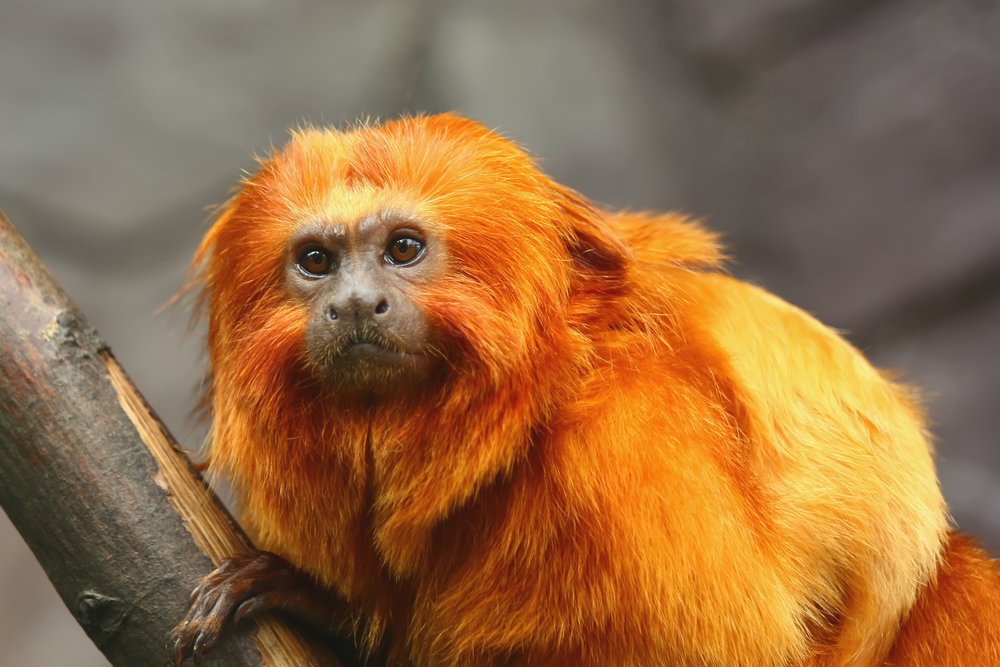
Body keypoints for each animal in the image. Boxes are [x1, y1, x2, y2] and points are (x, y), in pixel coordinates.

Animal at [172, 113, 1000, 666]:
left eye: (403, 249)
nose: (351, 305)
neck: (524, 409)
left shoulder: (634, 454)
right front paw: (317, 602)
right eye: (316, 260)